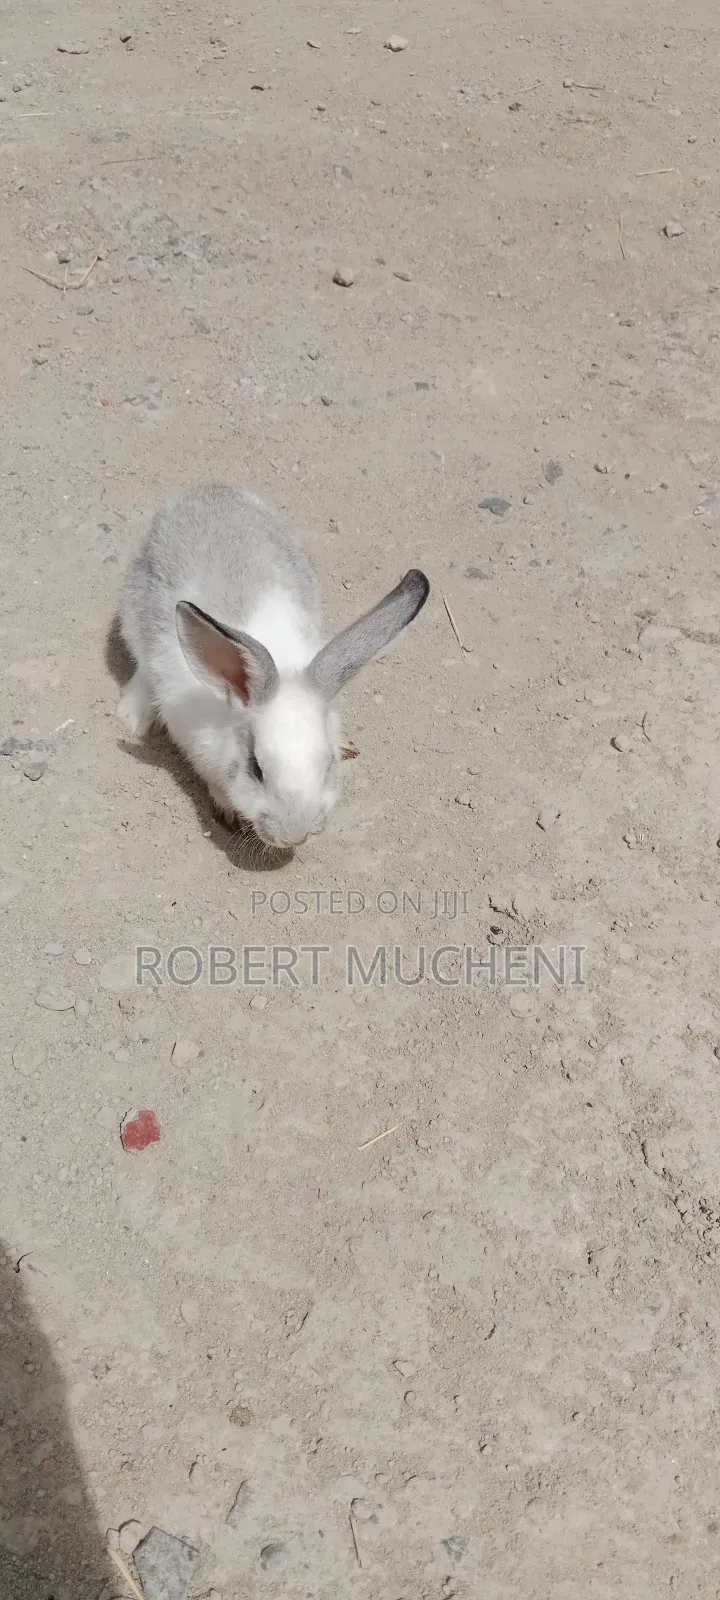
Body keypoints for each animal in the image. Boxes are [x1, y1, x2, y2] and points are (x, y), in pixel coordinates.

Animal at [116, 485, 430, 848]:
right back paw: (135, 717)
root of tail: (206, 489)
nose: (294, 836)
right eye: (256, 768)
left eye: (328, 765)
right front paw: (229, 813)